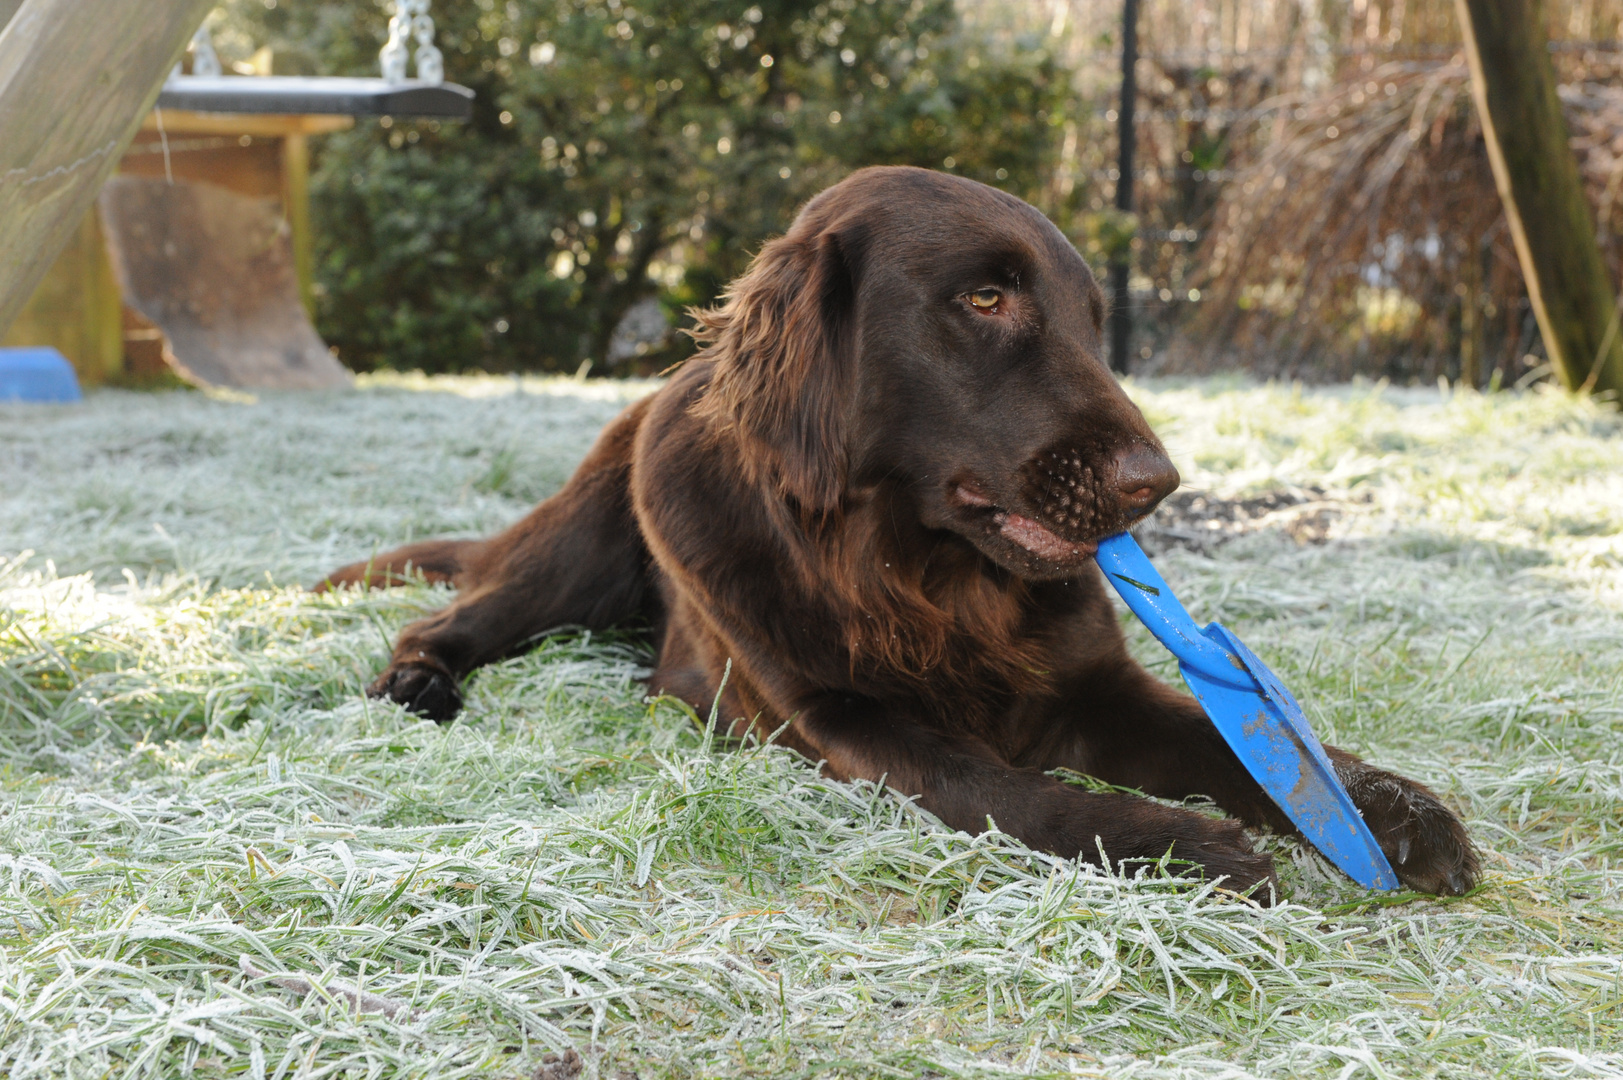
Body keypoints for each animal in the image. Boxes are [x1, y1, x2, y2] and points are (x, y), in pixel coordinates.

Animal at [322, 166, 1480, 889]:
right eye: (985, 299)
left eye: (1093, 319)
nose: (1158, 483)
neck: (919, 578)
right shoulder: (838, 717)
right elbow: (1009, 789)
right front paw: (1186, 848)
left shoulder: (1099, 690)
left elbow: (1248, 745)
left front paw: (1389, 808)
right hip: (584, 555)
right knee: (456, 617)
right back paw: (416, 684)